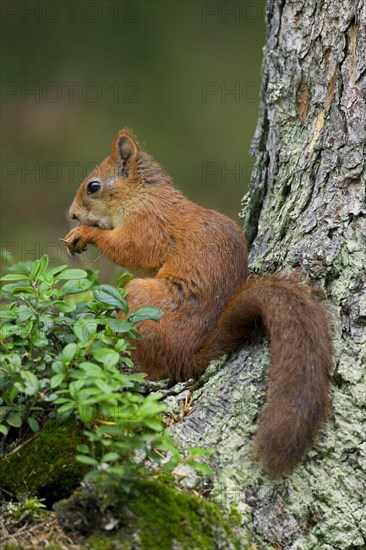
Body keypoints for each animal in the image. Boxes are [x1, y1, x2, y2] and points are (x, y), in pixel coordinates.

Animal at [62, 128, 332, 474]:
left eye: (93, 186)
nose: (72, 214)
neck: (140, 194)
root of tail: (189, 357)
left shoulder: (147, 224)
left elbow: (131, 251)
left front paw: (83, 233)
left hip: (141, 300)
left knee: (153, 368)